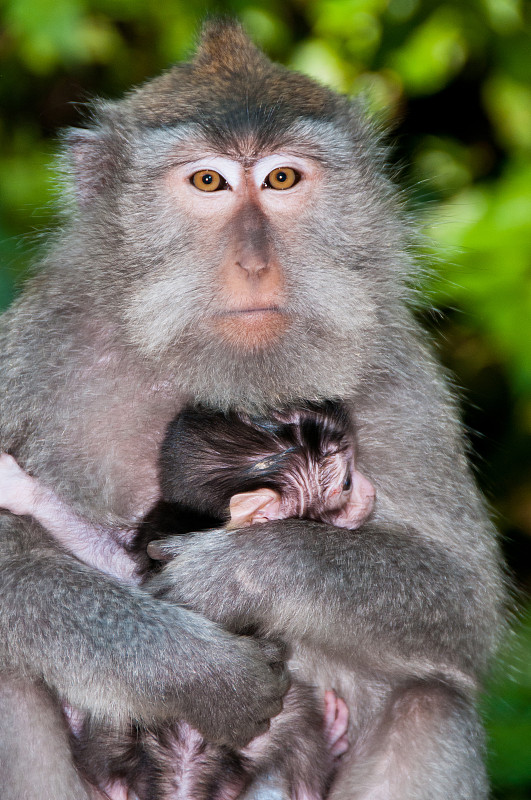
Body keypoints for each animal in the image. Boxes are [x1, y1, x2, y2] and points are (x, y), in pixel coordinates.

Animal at [1, 404, 374, 800]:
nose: (370, 491)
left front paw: (19, 488)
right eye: (346, 482)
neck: (207, 518)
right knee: (302, 732)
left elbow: (105, 555)